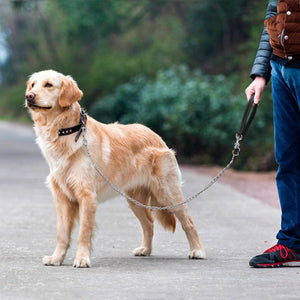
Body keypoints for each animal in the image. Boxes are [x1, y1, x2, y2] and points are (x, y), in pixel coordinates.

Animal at [25, 69, 206, 268]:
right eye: (33, 84)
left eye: (49, 85)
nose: (29, 96)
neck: (65, 131)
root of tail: (156, 135)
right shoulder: (62, 197)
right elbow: (62, 233)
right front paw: (56, 258)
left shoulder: (87, 195)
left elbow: (83, 233)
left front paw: (82, 259)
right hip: (135, 199)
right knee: (149, 223)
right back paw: (145, 249)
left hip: (167, 192)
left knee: (188, 221)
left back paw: (197, 251)